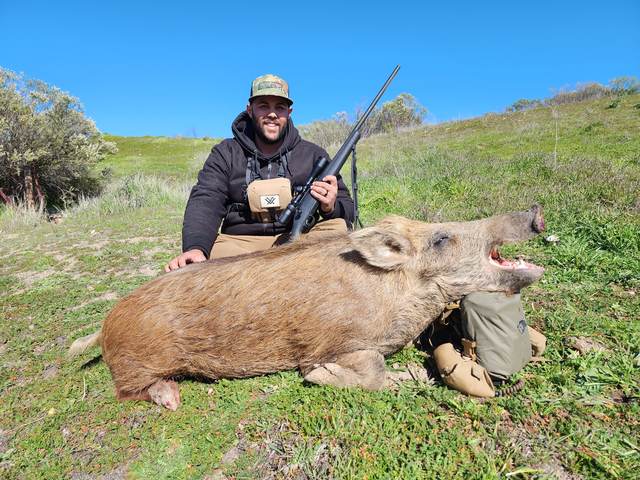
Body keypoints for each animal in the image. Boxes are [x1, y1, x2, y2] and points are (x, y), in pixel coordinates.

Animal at [69, 205, 545, 410]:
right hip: (136, 365)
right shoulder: (334, 344)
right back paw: (171, 399)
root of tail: (105, 324)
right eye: (442, 238)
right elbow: (369, 371)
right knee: (125, 391)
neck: (392, 298)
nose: (535, 211)